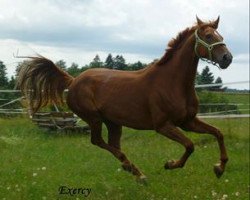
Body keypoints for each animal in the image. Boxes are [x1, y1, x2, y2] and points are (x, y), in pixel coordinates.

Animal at [17, 17, 232, 181]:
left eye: (221, 36)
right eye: (208, 36)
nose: (227, 58)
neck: (172, 83)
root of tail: (73, 80)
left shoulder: (187, 121)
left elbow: (218, 133)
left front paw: (219, 168)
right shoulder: (163, 125)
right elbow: (189, 145)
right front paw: (170, 164)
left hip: (113, 122)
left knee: (112, 144)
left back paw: (133, 170)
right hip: (94, 119)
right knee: (98, 141)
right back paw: (136, 171)